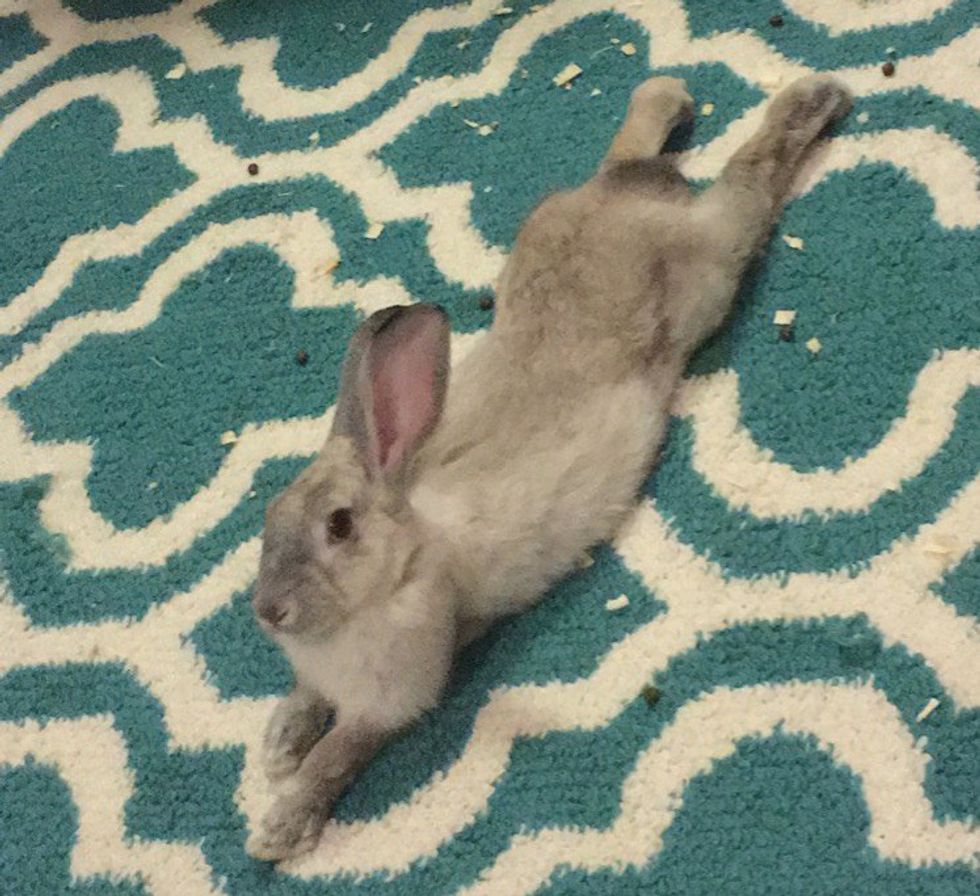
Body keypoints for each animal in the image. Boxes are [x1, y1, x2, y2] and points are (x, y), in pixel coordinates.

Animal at [246, 73, 852, 861]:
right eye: (267, 520)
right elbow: (307, 704)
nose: (268, 610)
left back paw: (815, 99)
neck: (401, 561)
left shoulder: (397, 693)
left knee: (746, 181)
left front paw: (279, 825)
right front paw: (278, 743)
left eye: (340, 526)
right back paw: (671, 101)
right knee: (633, 152)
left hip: (712, 262)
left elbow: (338, 755)